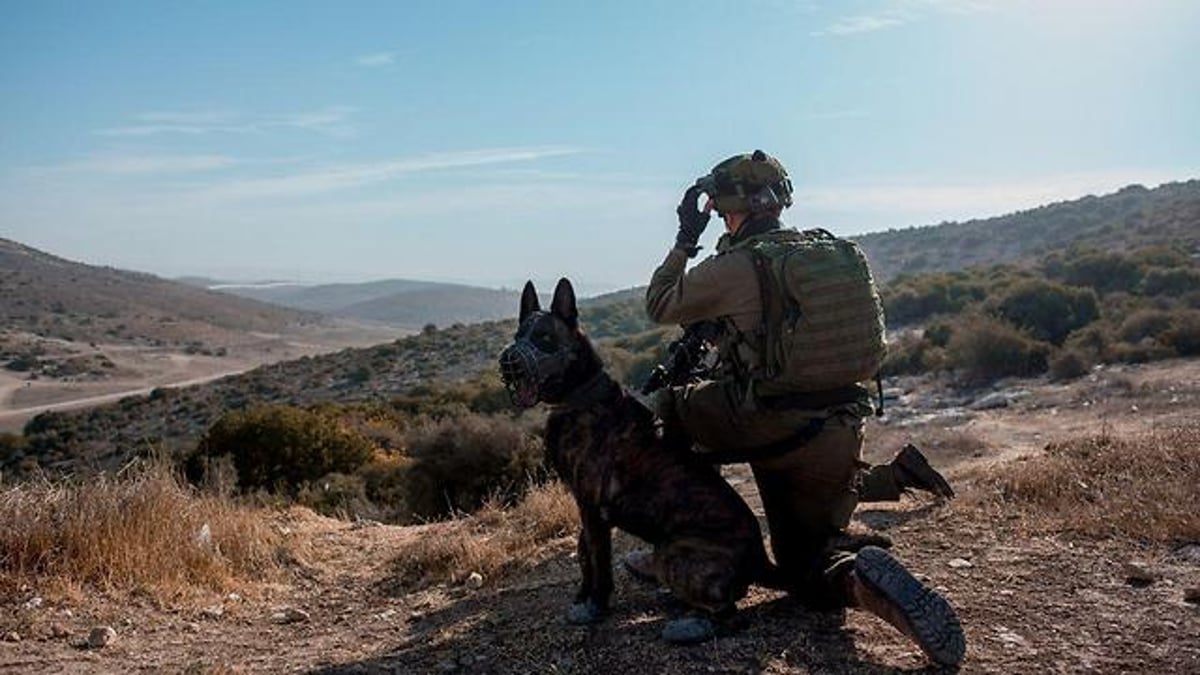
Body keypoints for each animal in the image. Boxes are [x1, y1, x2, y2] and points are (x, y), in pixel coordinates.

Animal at [496, 276, 777, 638]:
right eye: (519, 335)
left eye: (544, 338)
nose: (508, 362)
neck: (580, 395)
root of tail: (760, 557)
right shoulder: (585, 507)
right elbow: (584, 551)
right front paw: (583, 596)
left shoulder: (591, 505)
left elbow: (599, 561)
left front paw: (597, 605)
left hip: (671, 552)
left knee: (731, 614)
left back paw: (691, 626)